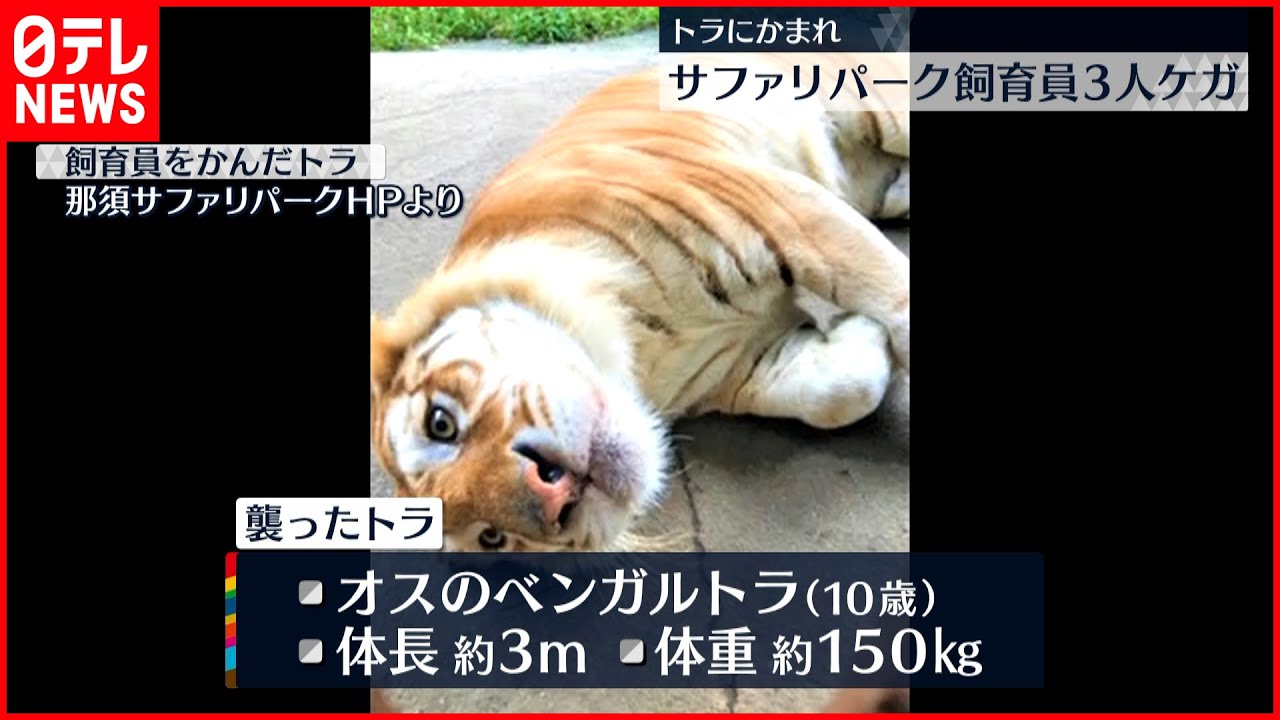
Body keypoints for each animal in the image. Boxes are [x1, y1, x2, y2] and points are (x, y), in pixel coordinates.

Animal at [369, 52, 910, 553]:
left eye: (440, 424)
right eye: (493, 537)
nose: (555, 499)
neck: (642, 341)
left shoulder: (787, 212)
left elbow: (897, 298)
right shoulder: (746, 366)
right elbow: (842, 390)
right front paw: (861, 334)